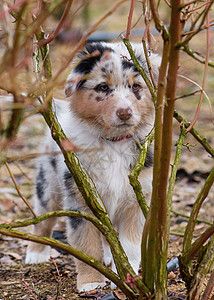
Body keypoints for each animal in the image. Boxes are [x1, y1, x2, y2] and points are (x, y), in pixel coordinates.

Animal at [25, 41, 160, 290]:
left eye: (136, 86)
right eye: (103, 88)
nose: (125, 112)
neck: (114, 143)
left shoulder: (136, 201)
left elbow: (129, 247)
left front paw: (128, 279)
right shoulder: (81, 201)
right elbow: (87, 246)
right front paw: (90, 283)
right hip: (48, 185)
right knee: (43, 218)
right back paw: (36, 253)